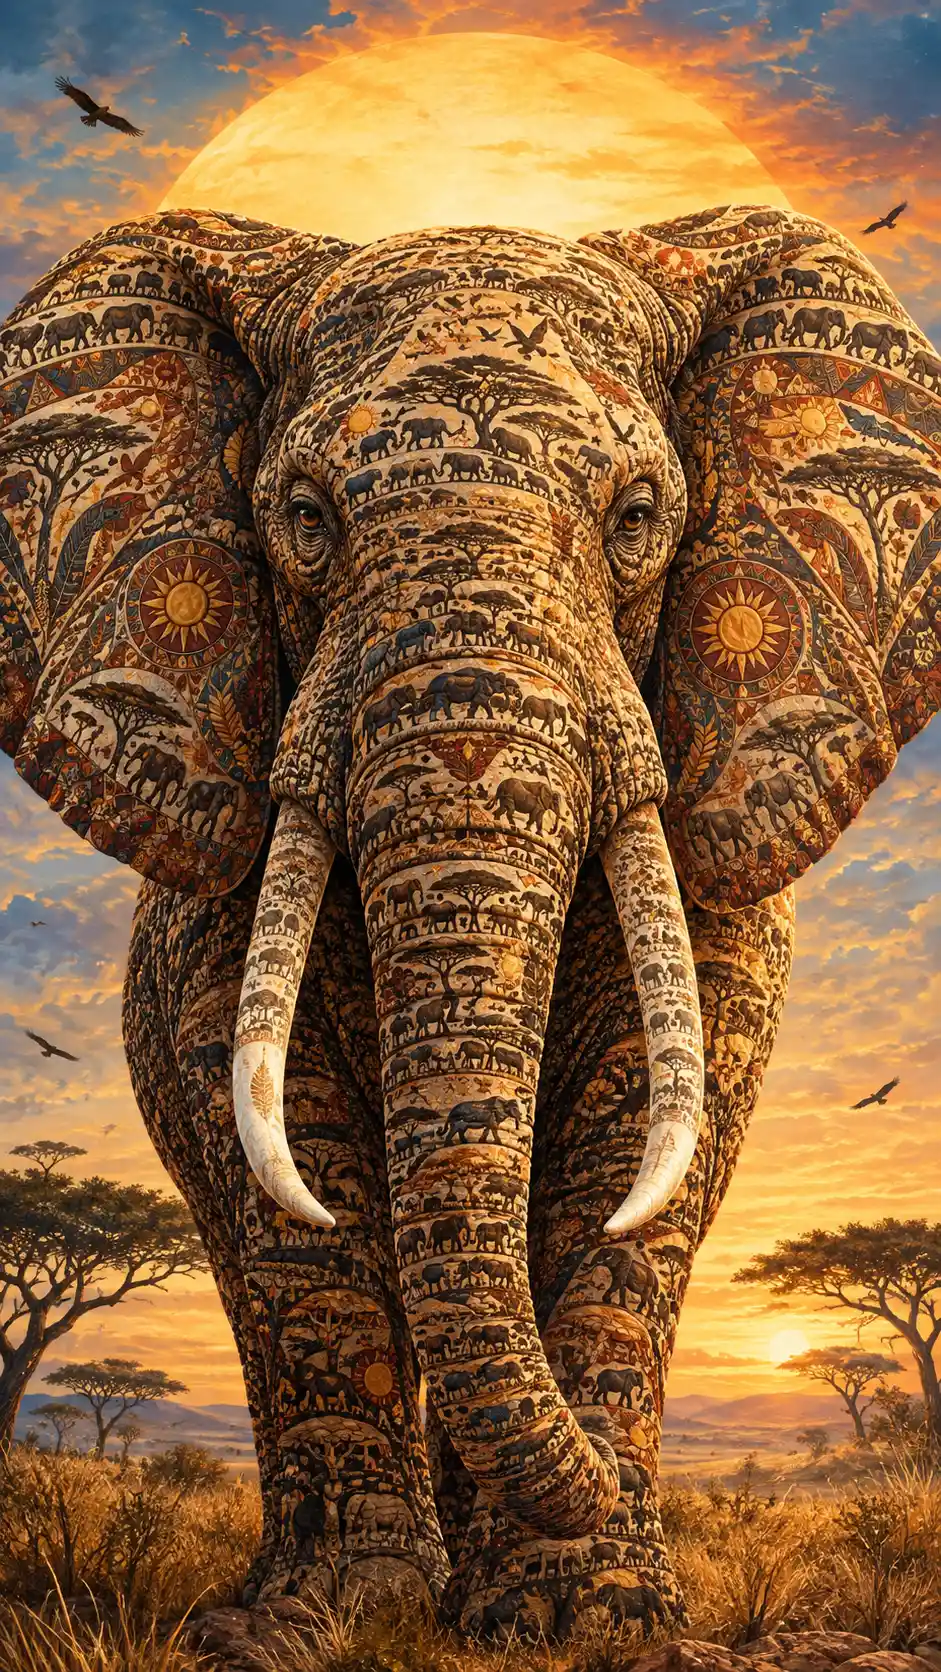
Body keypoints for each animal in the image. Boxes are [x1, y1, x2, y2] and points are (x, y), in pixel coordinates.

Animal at [2, 203, 939, 1641]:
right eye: (304, 518)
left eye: (637, 517)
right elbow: (286, 1139)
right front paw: (321, 1621)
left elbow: (640, 1127)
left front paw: (586, 1619)